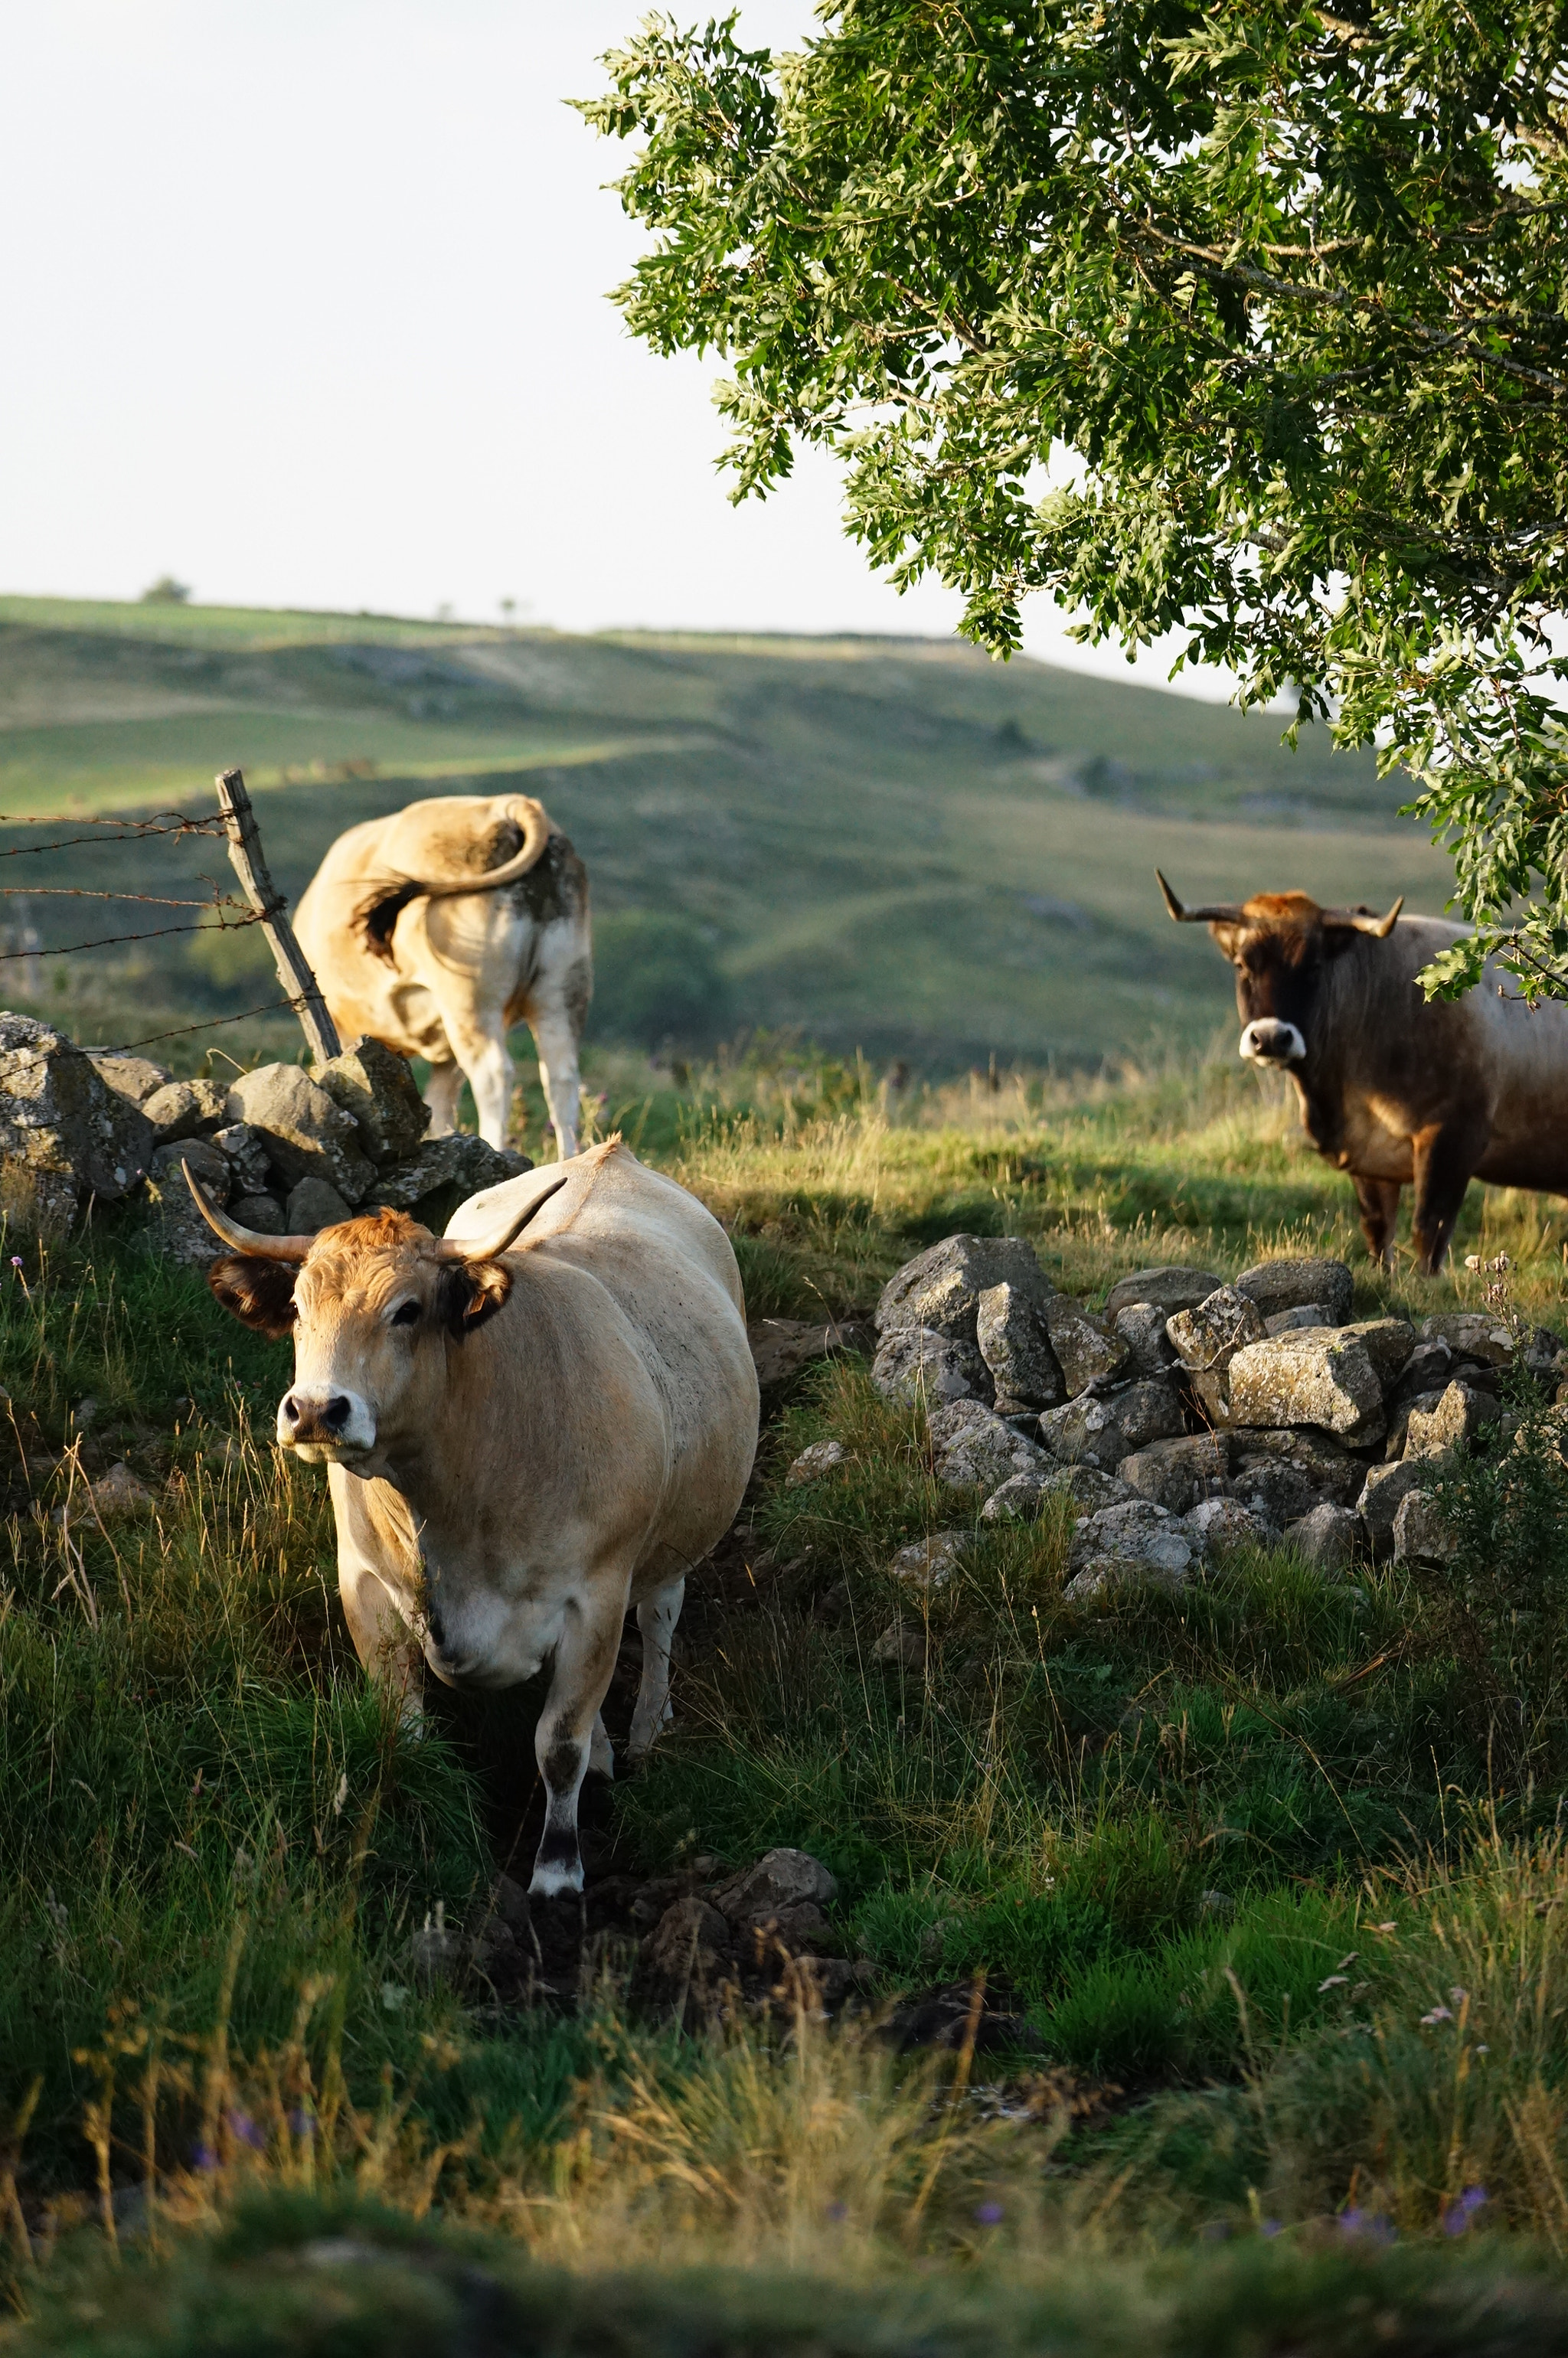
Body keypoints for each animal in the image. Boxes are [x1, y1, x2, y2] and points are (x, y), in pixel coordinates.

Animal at [189, 1141, 759, 1896]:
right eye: (299, 1308)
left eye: (407, 1310)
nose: (314, 1410)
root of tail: (612, 1155)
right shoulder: (364, 1586)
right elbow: (405, 1732)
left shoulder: (596, 1595)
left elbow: (559, 1744)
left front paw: (557, 1870)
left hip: (675, 1536)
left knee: (661, 1615)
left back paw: (644, 1730)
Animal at [292, 792, 586, 1160]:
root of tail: (506, 805)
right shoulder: (446, 1052)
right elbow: (440, 1104)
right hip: (560, 990)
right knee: (561, 1077)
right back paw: (570, 1160)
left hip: (469, 998)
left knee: (494, 1074)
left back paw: (495, 1147)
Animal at [1155, 872, 1568, 1273]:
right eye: (1243, 965)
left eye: (1314, 966)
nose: (1271, 1038)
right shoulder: (1370, 1156)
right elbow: (1378, 1231)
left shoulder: (1454, 1137)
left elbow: (1428, 1232)